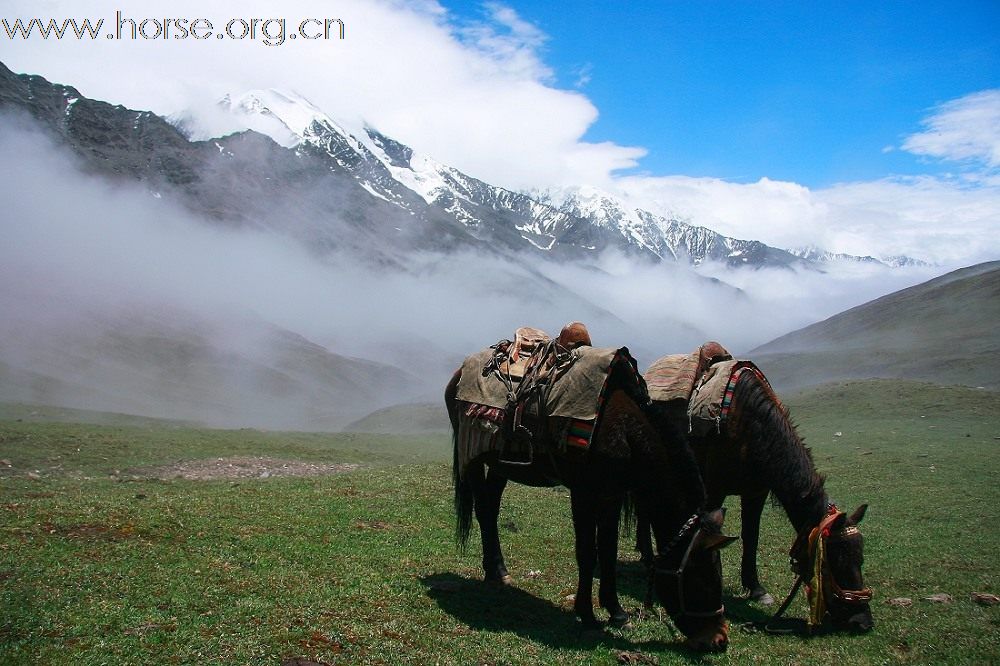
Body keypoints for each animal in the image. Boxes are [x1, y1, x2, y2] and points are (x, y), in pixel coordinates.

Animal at [446, 334, 736, 644]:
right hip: (473, 456)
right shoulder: (583, 492)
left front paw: (617, 612)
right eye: (701, 576)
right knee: (482, 508)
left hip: (500, 464)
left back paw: (498, 571)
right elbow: (587, 551)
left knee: (490, 508)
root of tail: (457, 375)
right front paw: (586, 614)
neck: (624, 430)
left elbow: (607, 549)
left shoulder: (612, 494)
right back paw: (493, 573)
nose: (719, 638)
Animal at [636, 350, 872, 632]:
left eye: (860, 557)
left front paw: (757, 589)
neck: (749, 426)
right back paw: (646, 559)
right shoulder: (714, 490)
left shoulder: (756, 493)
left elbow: (751, 537)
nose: (863, 620)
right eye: (835, 561)